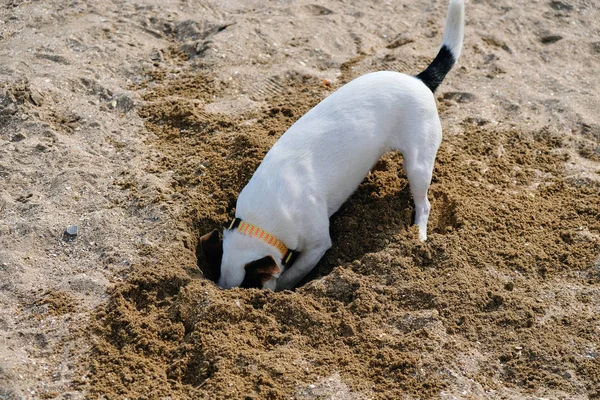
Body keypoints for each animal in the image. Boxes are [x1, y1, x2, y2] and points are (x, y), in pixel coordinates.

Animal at [200, 0, 464, 292]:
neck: (263, 216)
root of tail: (420, 79)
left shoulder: (317, 245)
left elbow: (293, 274)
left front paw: (285, 288)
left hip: (418, 165)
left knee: (424, 203)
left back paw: (418, 234)